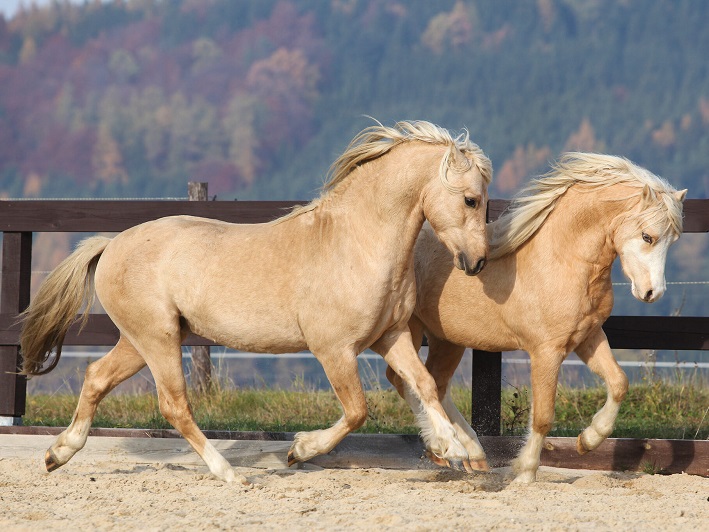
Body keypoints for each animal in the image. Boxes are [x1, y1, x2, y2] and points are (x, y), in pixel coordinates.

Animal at [18, 119, 492, 482]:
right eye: (471, 199)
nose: (477, 262)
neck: (357, 242)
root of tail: (111, 244)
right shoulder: (334, 350)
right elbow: (358, 410)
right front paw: (299, 450)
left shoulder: (390, 336)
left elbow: (425, 384)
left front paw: (453, 449)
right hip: (157, 339)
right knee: (175, 406)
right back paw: (228, 473)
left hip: (141, 341)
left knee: (96, 377)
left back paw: (58, 454)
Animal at [384, 153, 688, 482]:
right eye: (647, 236)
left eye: (673, 241)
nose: (652, 292)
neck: (562, 259)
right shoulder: (546, 352)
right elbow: (542, 416)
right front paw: (524, 472)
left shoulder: (589, 337)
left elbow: (619, 382)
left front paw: (588, 440)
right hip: (410, 329)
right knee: (407, 380)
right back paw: (444, 448)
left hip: (447, 339)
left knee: (435, 384)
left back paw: (471, 455)